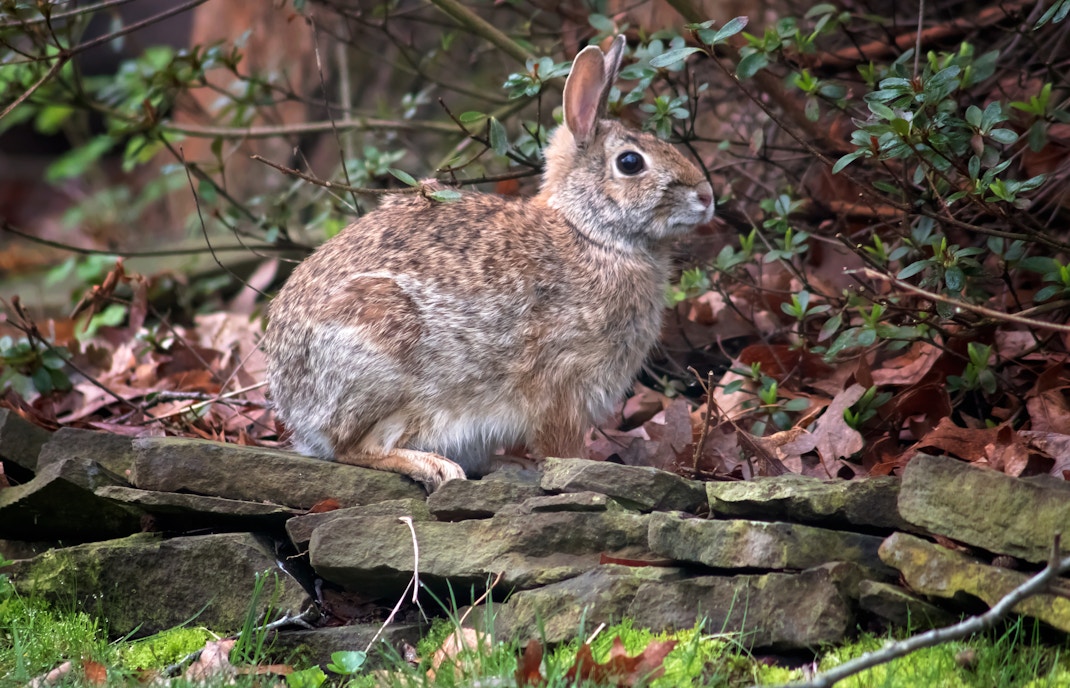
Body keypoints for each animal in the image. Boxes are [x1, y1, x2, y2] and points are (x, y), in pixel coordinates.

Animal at [262, 35, 714, 492]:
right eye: (630, 162)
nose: (707, 196)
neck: (591, 234)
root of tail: (294, 407)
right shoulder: (563, 383)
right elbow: (562, 445)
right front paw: (583, 469)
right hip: (380, 355)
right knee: (352, 448)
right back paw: (433, 465)